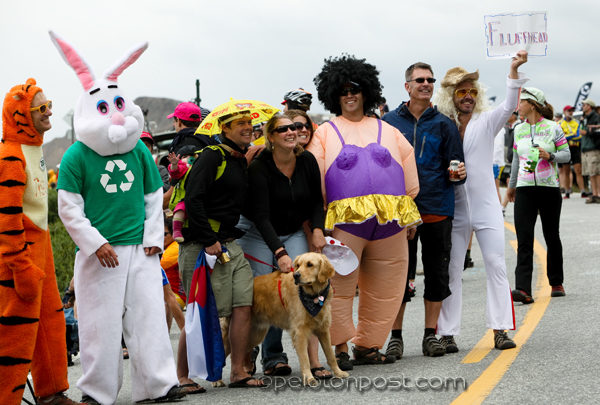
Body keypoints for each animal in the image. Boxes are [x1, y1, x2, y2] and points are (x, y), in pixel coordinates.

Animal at [216, 252, 350, 386]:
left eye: (310, 264)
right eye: (297, 265)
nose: (296, 275)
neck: (314, 297)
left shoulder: (323, 329)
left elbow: (330, 355)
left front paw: (338, 373)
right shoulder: (300, 332)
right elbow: (305, 358)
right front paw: (309, 378)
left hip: (254, 334)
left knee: (240, 352)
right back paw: (218, 380)